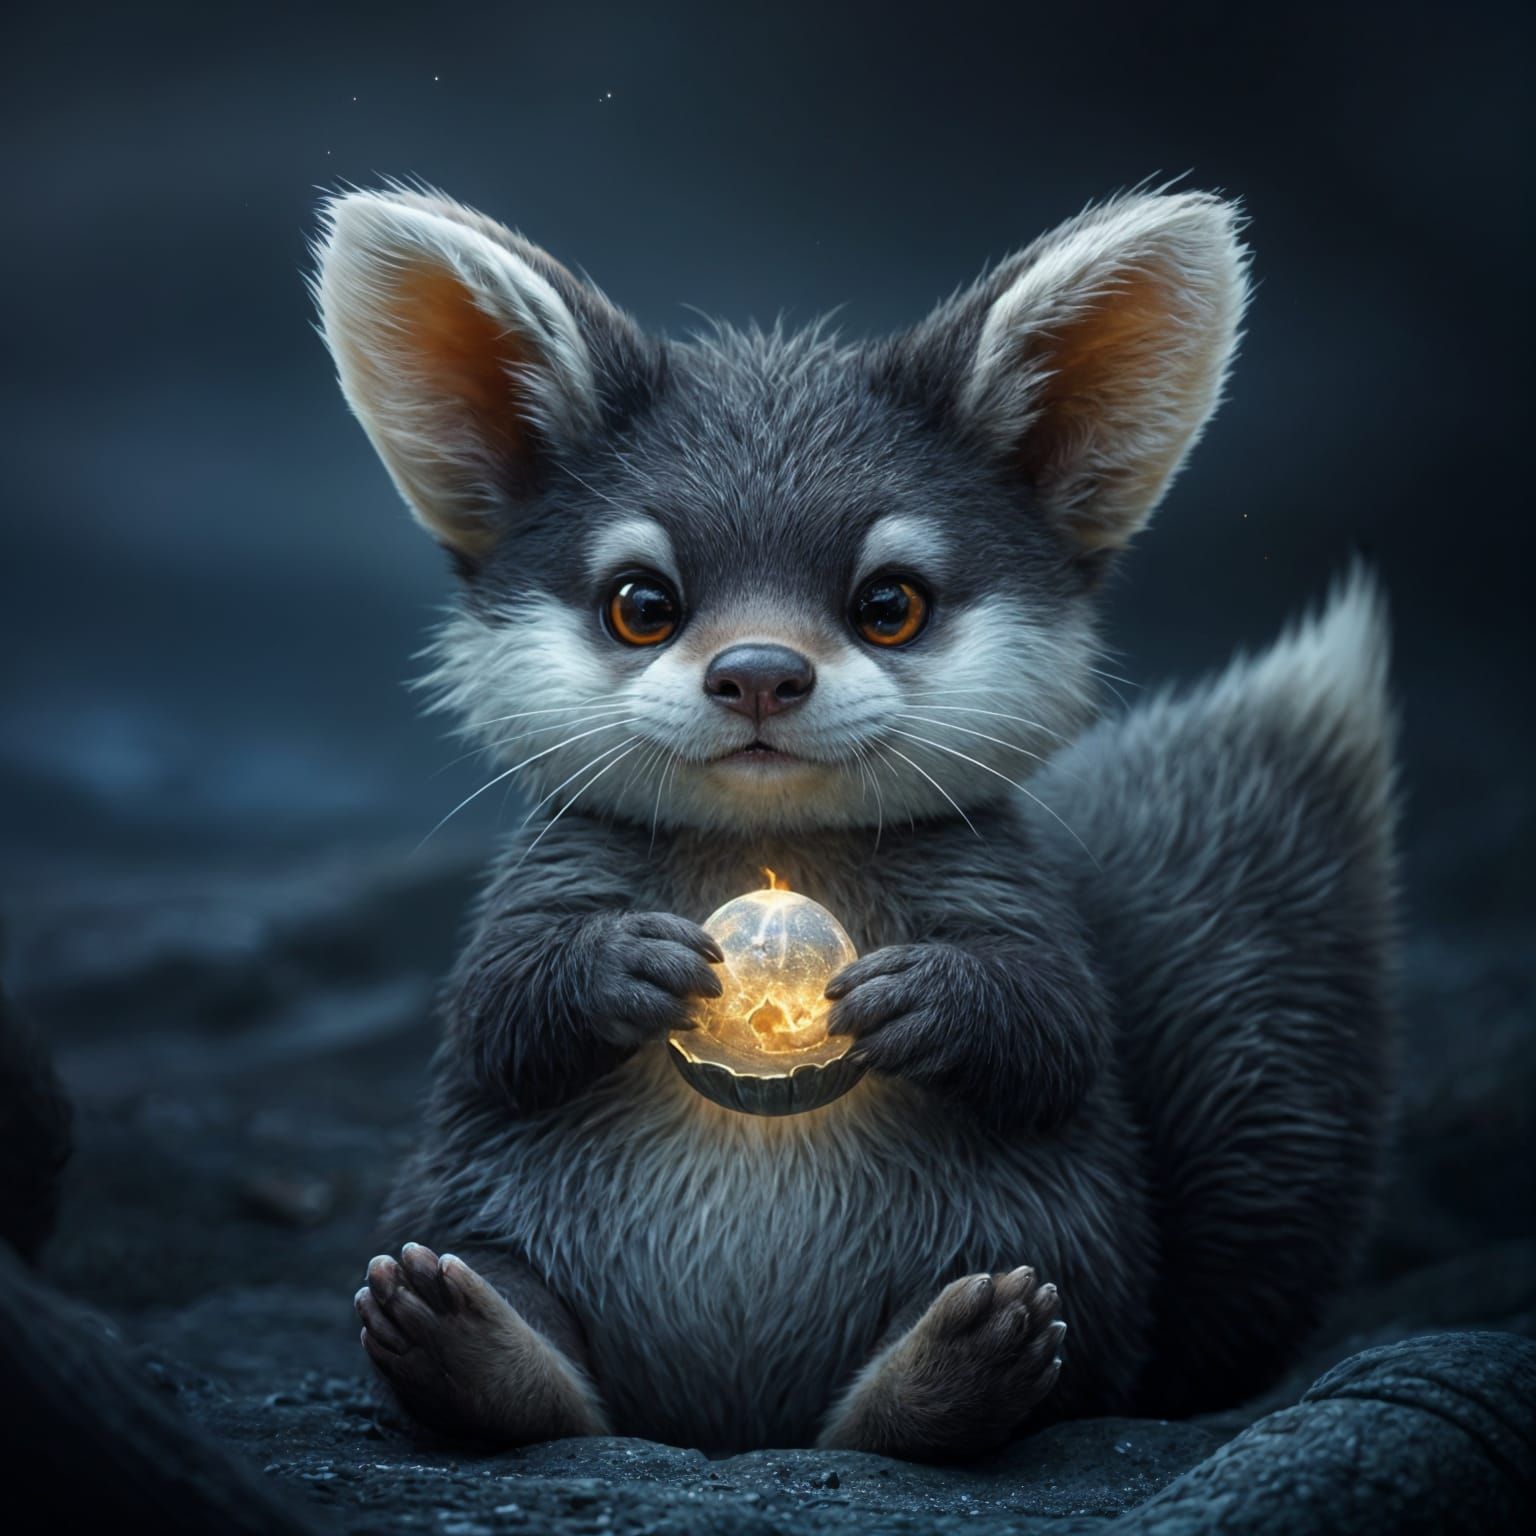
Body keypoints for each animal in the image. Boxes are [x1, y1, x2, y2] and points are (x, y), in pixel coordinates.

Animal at [312, 184, 1397, 1461]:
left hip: (1047, 1248)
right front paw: (613, 964)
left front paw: (941, 998)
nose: (758, 675)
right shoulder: (540, 876)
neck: (770, 848)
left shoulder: (1009, 888)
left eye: (891, 605)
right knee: (535, 1341)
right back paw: (479, 1349)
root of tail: (736, 1424)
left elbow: (1060, 1030)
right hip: (474, 1211)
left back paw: (946, 1369)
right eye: (642, 605)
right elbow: (494, 1013)